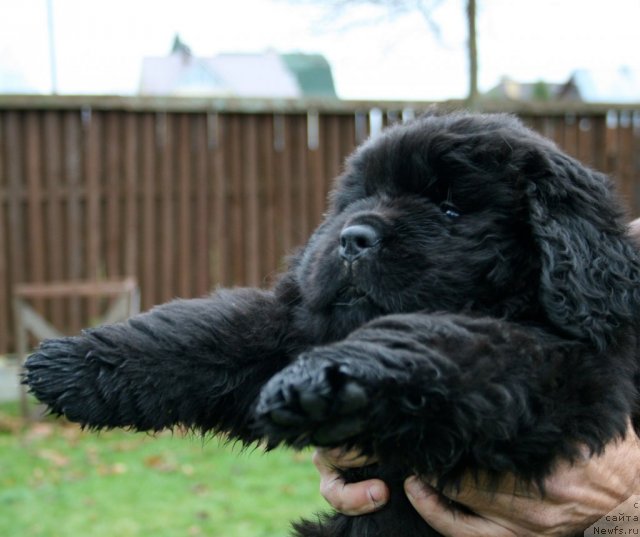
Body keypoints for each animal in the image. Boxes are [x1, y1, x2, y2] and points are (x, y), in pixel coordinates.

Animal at [23, 113, 640, 536]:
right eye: (360, 196)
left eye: (450, 209)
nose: (352, 238)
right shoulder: (292, 327)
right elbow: (209, 331)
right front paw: (72, 365)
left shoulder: (571, 374)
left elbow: (451, 342)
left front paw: (329, 379)